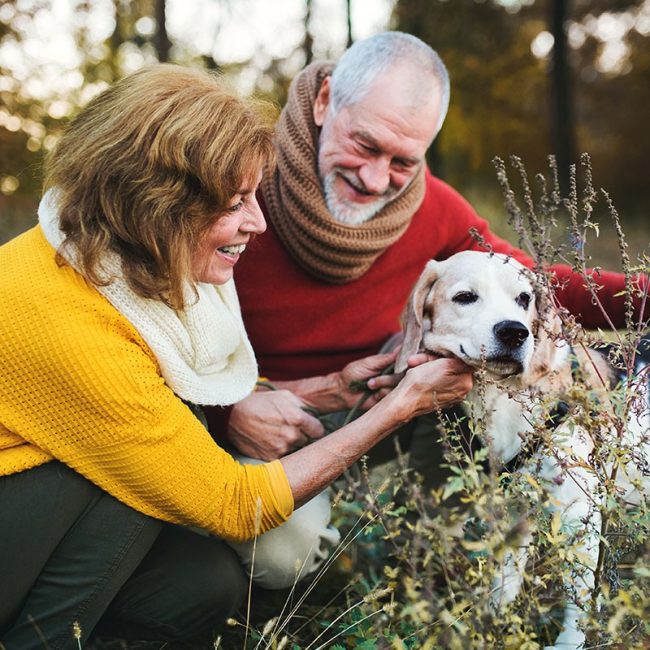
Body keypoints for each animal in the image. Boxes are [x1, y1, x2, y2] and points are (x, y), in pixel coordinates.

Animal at [392, 249, 644, 648]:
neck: (503, 395)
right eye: (465, 297)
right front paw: (493, 625)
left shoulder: (577, 519)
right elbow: (504, 582)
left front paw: (569, 642)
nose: (514, 331)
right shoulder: (513, 514)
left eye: (524, 299)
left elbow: (579, 596)